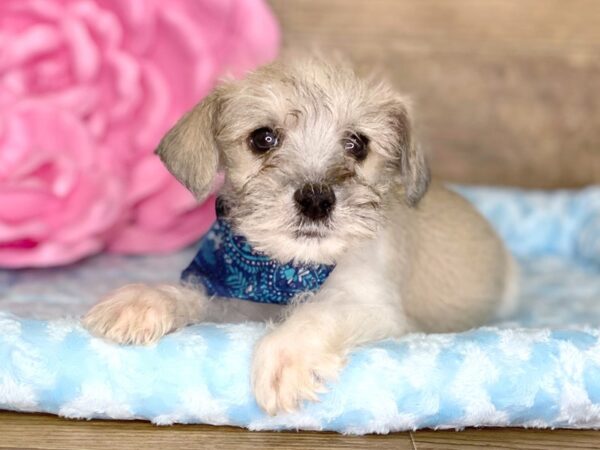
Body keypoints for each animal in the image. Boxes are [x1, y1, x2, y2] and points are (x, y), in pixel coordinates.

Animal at [82, 55, 516, 414]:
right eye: (263, 138)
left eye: (358, 144)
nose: (316, 200)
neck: (290, 268)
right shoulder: (237, 303)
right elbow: (195, 294)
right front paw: (144, 300)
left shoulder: (372, 306)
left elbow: (318, 313)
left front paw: (284, 355)